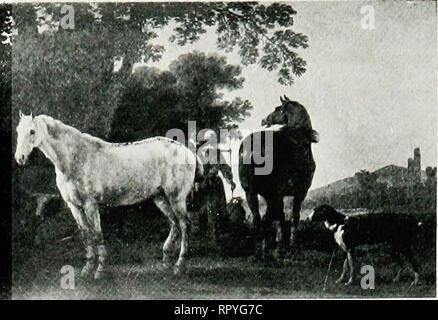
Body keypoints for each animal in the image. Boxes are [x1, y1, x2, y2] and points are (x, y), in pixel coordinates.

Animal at [15, 112, 204, 278]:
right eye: (17, 130)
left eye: (32, 131)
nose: (20, 158)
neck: (76, 158)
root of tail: (187, 151)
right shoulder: (74, 206)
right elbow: (86, 234)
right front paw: (86, 269)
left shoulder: (91, 205)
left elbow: (97, 234)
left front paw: (99, 270)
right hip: (160, 198)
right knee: (174, 223)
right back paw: (165, 262)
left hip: (177, 198)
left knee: (185, 225)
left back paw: (179, 266)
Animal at [238, 95, 316, 260]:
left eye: (278, 109)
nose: (263, 120)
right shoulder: (299, 193)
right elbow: (293, 217)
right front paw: (290, 246)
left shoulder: (275, 195)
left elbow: (280, 218)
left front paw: (279, 247)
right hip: (273, 194)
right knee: (266, 220)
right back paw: (266, 252)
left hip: (251, 192)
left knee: (258, 219)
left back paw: (258, 253)